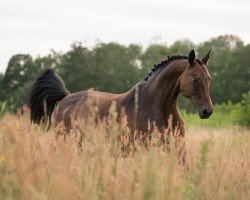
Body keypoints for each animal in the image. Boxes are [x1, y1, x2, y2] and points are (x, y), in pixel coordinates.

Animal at [28, 49, 213, 162]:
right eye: (194, 79)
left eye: (209, 78)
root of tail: (65, 98)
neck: (155, 107)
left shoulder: (177, 147)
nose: (207, 111)